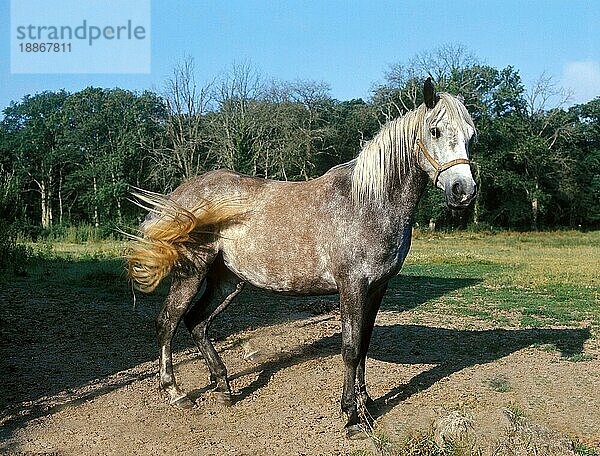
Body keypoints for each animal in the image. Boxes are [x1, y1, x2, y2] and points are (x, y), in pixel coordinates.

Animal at [129, 79, 476, 438]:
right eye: (435, 130)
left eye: (471, 135)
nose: (463, 191)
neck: (369, 201)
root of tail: (180, 196)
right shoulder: (351, 286)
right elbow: (351, 349)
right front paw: (351, 415)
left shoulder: (378, 288)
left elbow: (365, 345)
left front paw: (367, 405)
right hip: (192, 272)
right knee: (167, 322)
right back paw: (175, 392)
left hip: (227, 280)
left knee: (197, 322)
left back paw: (224, 387)